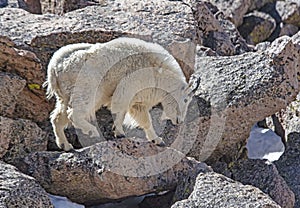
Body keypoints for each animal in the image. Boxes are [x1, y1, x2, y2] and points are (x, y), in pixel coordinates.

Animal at [43, 37, 191, 151]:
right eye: (185, 100)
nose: (179, 121)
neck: (157, 69)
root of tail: (54, 68)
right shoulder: (128, 86)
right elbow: (120, 110)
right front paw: (119, 133)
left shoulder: (138, 99)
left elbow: (143, 119)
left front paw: (157, 140)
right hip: (86, 86)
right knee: (75, 112)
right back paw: (92, 131)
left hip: (65, 94)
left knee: (58, 116)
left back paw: (66, 145)